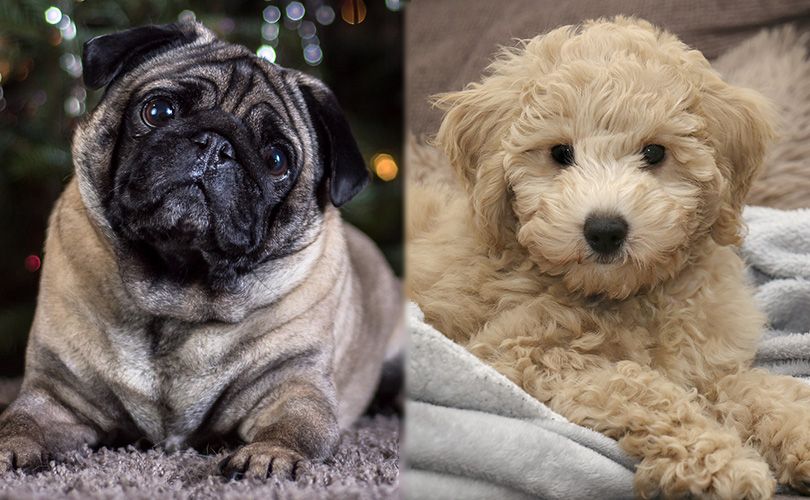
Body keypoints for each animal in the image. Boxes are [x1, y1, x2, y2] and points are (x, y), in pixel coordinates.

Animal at [410, 16, 808, 500]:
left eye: (654, 152)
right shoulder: (520, 354)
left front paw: (796, 429)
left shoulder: (709, 365)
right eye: (560, 153)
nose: (604, 230)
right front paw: (722, 461)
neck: (624, 294)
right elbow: (639, 387)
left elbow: (754, 389)